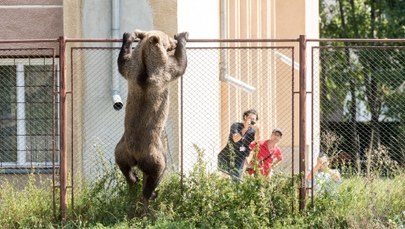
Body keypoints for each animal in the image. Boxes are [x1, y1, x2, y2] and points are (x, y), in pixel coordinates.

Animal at [114, 29, 189, 206]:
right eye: (167, 39)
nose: (173, 42)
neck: (145, 64)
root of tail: (135, 154)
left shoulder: (132, 71)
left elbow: (122, 62)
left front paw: (128, 36)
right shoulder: (164, 72)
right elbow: (179, 65)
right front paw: (182, 37)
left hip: (121, 148)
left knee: (123, 165)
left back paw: (133, 180)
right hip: (154, 153)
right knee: (158, 172)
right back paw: (150, 194)